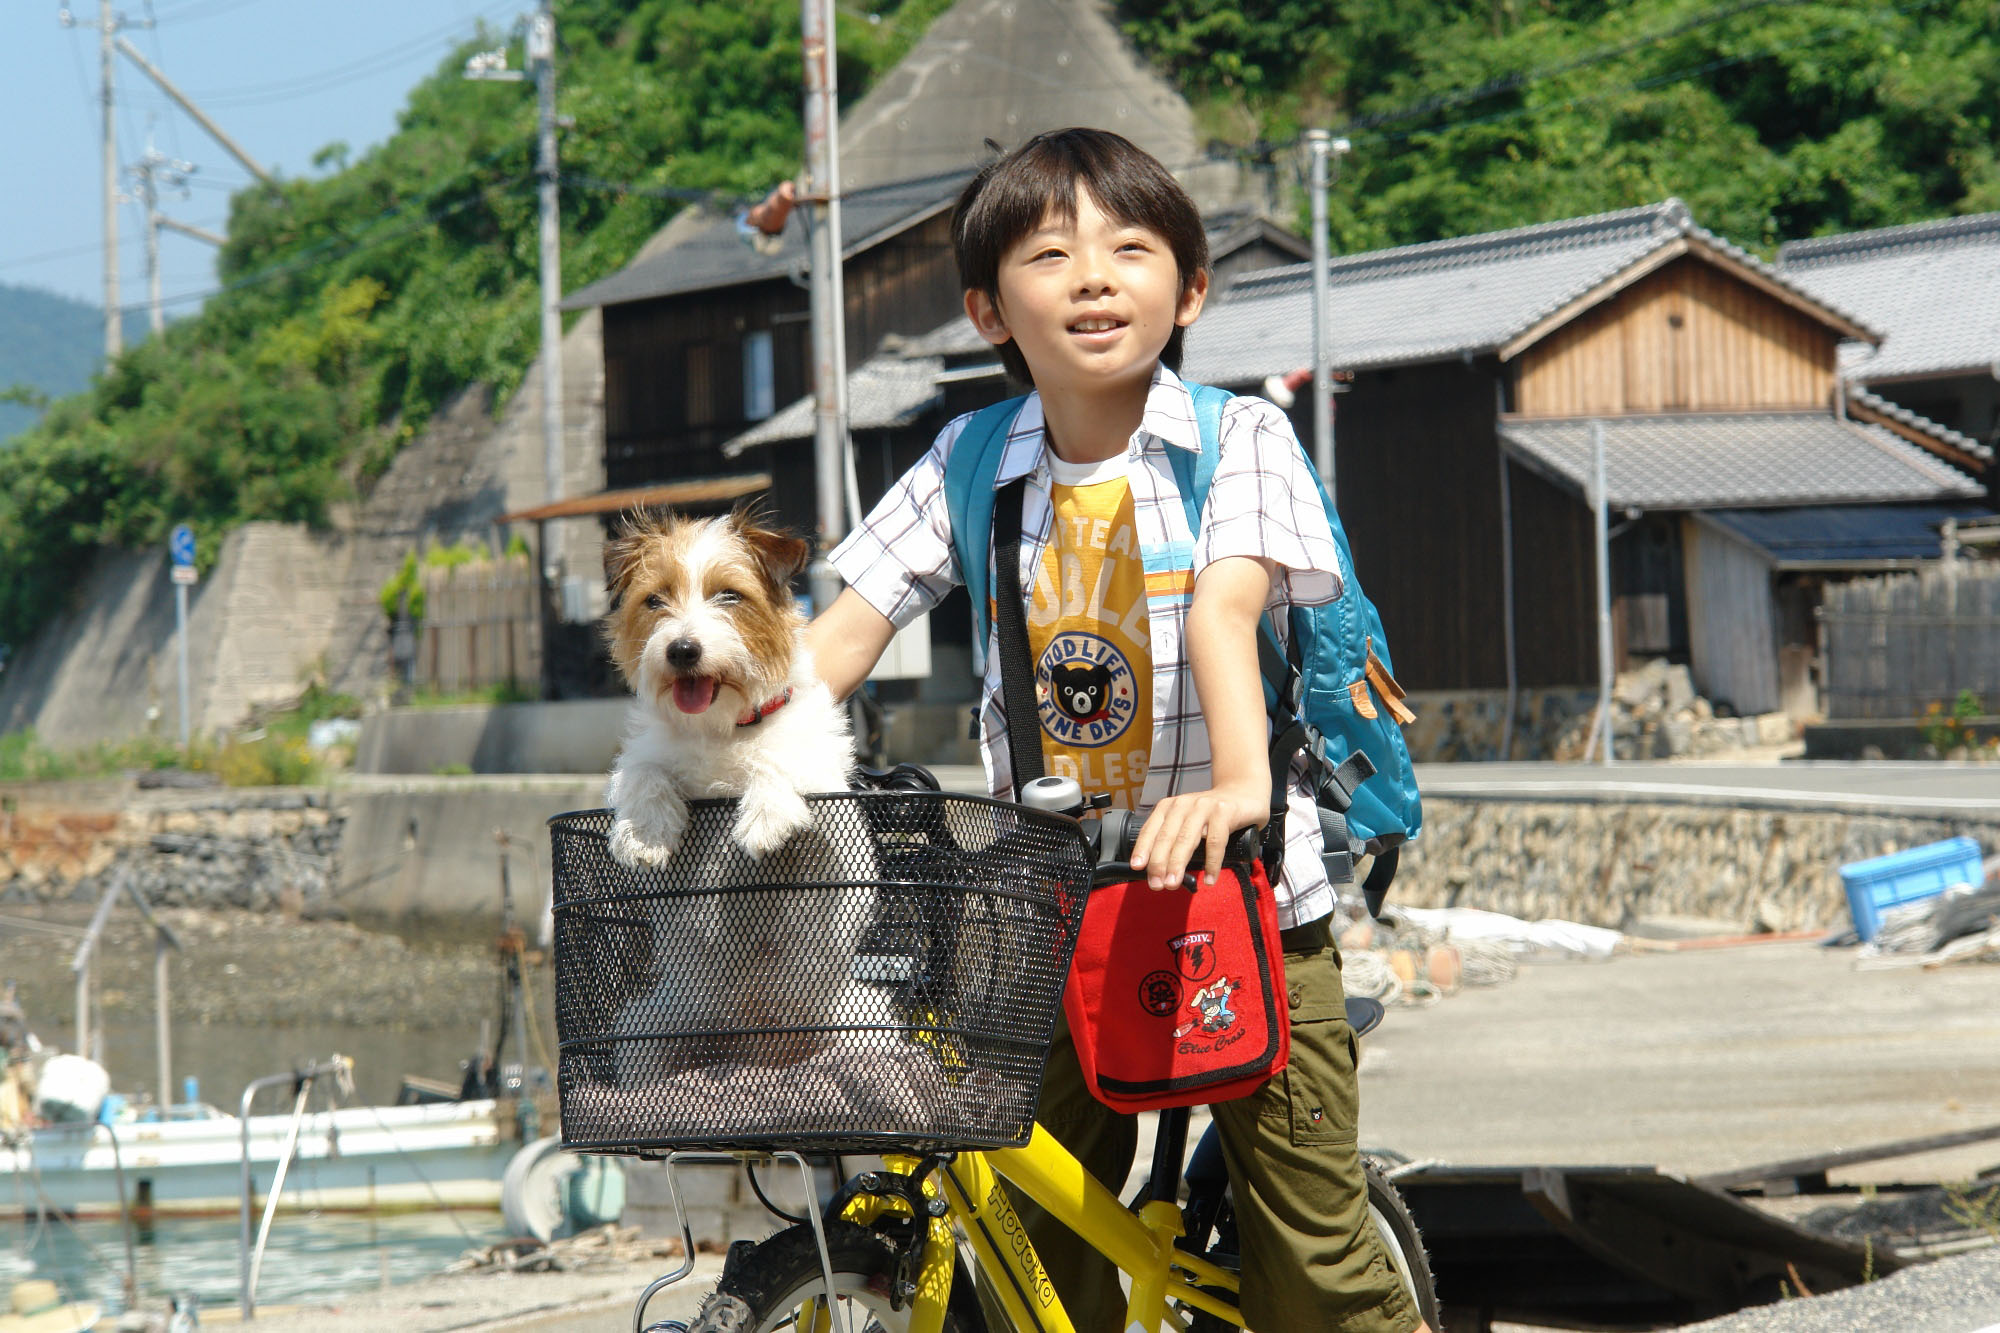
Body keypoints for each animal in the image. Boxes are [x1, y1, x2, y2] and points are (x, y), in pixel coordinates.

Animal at [608, 506, 860, 860]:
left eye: (729, 595)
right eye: (654, 600)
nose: (682, 650)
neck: (721, 728)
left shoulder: (826, 788)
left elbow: (778, 755)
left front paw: (767, 819)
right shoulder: (649, 749)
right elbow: (642, 770)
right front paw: (645, 832)